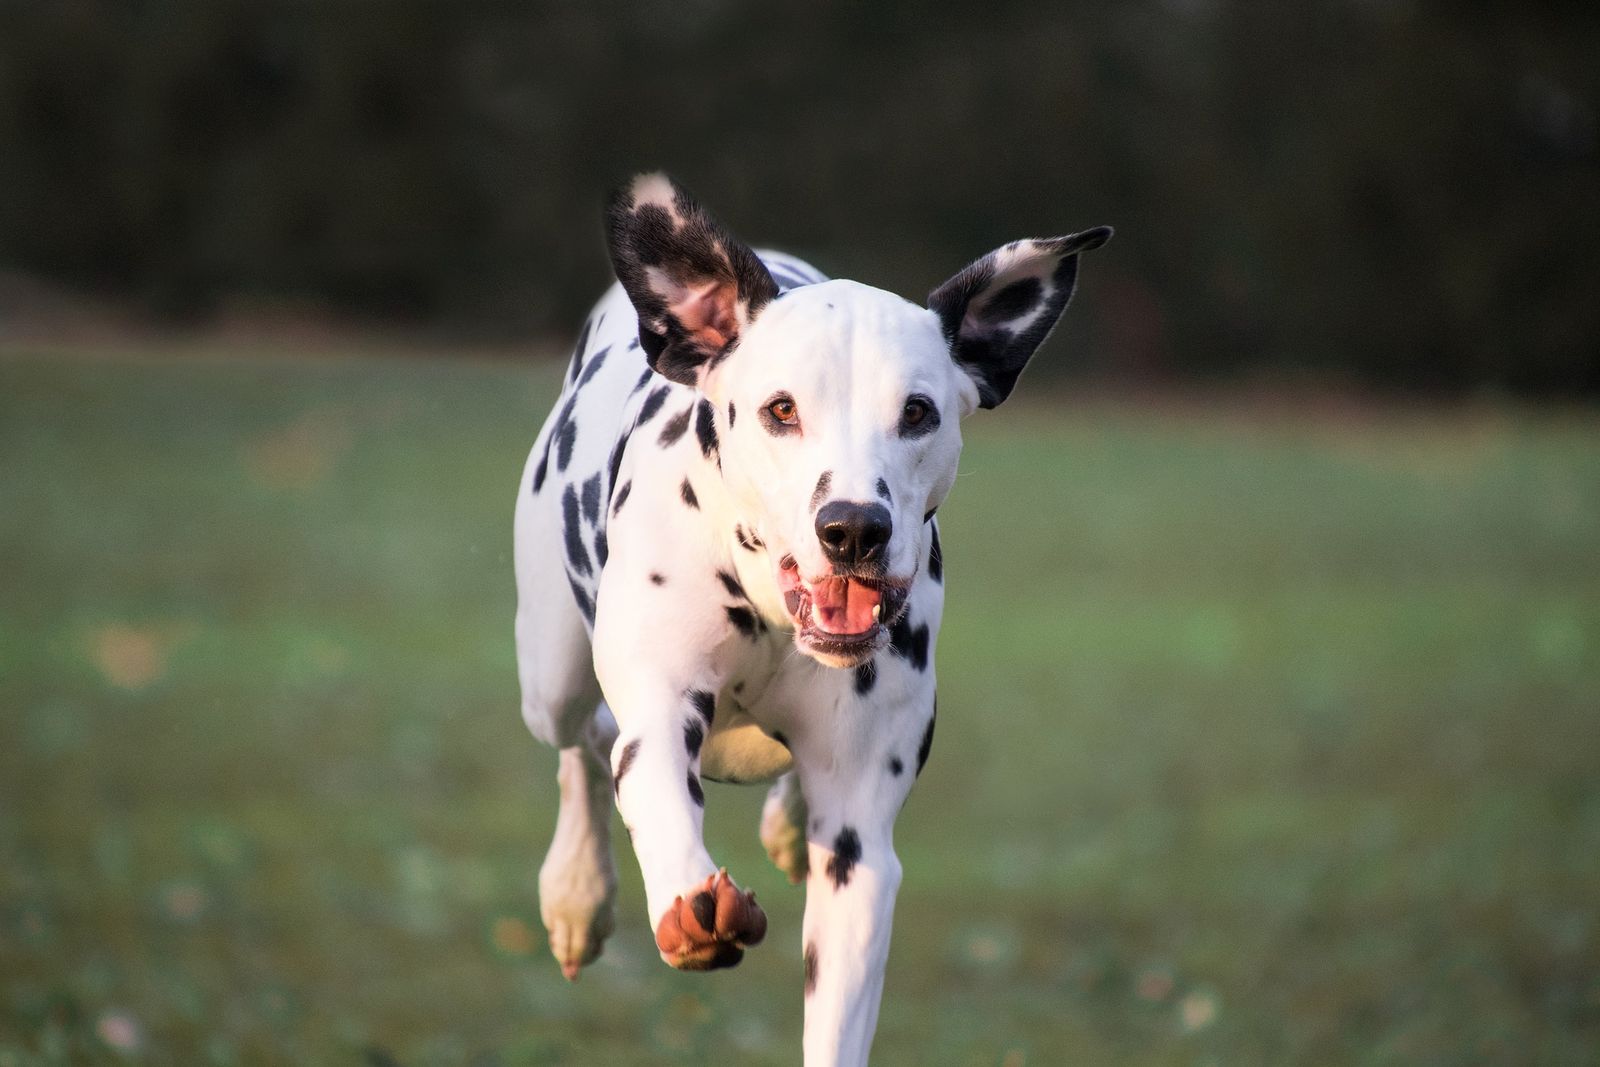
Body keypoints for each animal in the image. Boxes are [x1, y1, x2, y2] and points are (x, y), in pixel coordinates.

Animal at [515, 171, 1113, 1062]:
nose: (854, 527)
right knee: (580, 742)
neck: (769, 610)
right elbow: (653, 790)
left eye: (918, 412)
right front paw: (685, 905)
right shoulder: (657, 711)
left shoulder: (860, 851)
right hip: (549, 676)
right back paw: (577, 891)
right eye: (781, 410)